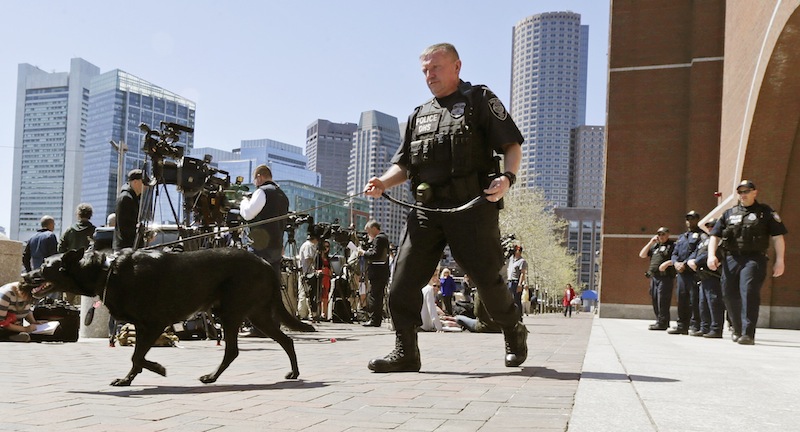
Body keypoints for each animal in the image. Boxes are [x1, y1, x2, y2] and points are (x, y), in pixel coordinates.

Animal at [25, 248, 312, 386]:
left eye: (45, 266)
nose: (26, 275)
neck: (107, 270)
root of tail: (265, 264)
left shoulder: (154, 324)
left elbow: (137, 356)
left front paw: (158, 369)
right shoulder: (143, 327)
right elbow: (136, 356)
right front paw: (128, 379)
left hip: (233, 312)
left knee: (233, 350)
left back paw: (212, 377)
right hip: (256, 314)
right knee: (285, 340)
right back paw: (293, 372)